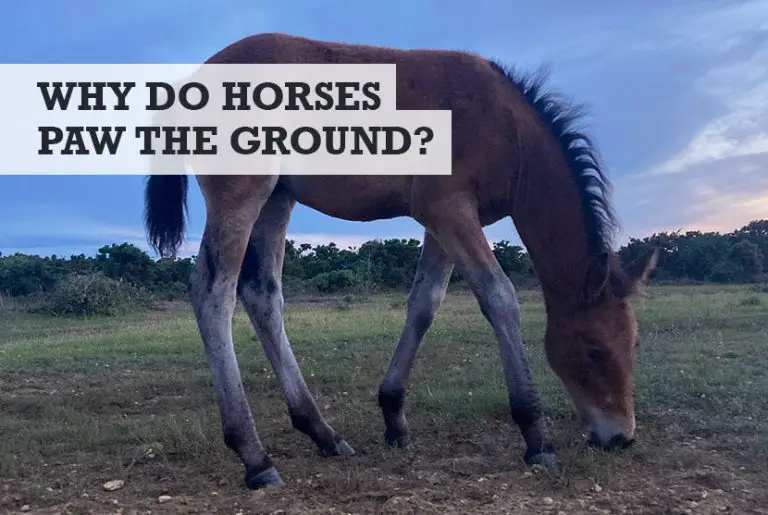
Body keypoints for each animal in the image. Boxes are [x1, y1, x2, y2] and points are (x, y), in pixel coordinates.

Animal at [143, 32, 659, 489]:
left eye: (633, 344)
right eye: (593, 351)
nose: (621, 437)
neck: (506, 127)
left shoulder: (443, 220)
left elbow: (424, 304)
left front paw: (393, 416)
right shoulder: (448, 209)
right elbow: (499, 298)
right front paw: (537, 437)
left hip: (278, 198)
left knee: (262, 295)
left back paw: (322, 433)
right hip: (241, 193)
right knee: (213, 293)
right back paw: (255, 457)